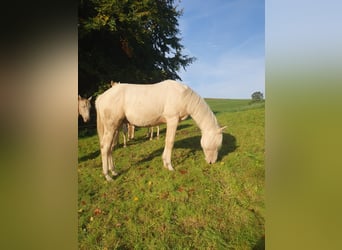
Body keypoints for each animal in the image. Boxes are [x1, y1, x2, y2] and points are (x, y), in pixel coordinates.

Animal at [95, 80, 226, 182]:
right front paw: (170, 166)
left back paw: (113, 171)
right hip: (111, 127)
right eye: (217, 145)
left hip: (115, 127)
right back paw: (108, 176)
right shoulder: (173, 120)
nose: (211, 162)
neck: (184, 96)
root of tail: (101, 98)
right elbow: (170, 142)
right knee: (105, 148)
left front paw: (164, 163)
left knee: (110, 148)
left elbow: (167, 142)